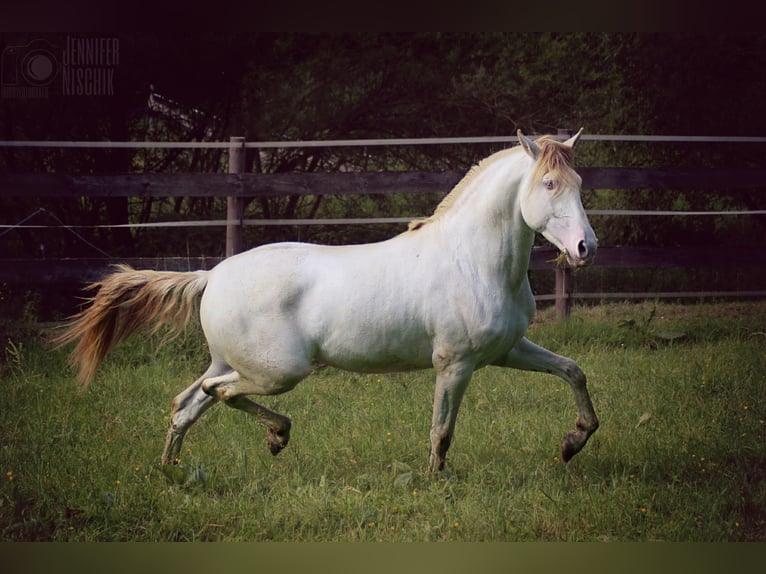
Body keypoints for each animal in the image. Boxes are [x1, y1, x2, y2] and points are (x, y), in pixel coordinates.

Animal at [57, 129, 604, 472]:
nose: (586, 248)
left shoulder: (507, 350)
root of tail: (211, 276)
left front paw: (573, 443)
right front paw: (436, 480)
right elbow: (441, 432)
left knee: (187, 403)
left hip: (228, 361)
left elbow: (573, 370)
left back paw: (172, 471)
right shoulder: (455, 364)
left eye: (579, 183)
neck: (472, 261)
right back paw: (278, 435)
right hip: (279, 371)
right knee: (221, 394)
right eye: (548, 184)